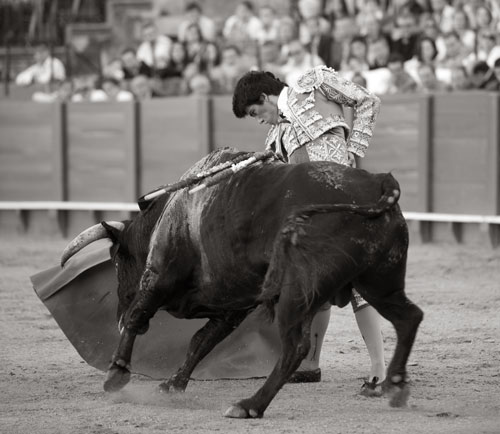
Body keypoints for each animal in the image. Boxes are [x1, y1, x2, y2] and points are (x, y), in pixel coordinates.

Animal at [60, 148, 424, 418]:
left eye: (116, 261)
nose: (116, 318)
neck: (170, 214)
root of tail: (377, 184)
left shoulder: (160, 275)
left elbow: (141, 314)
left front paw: (116, 374)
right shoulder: (232, 306)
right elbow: (200, 342)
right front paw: (172, 385)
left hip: (298, 291)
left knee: (296, 346)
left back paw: (249, 406)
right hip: (378, 282)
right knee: (409, 317)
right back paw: (395, 385)